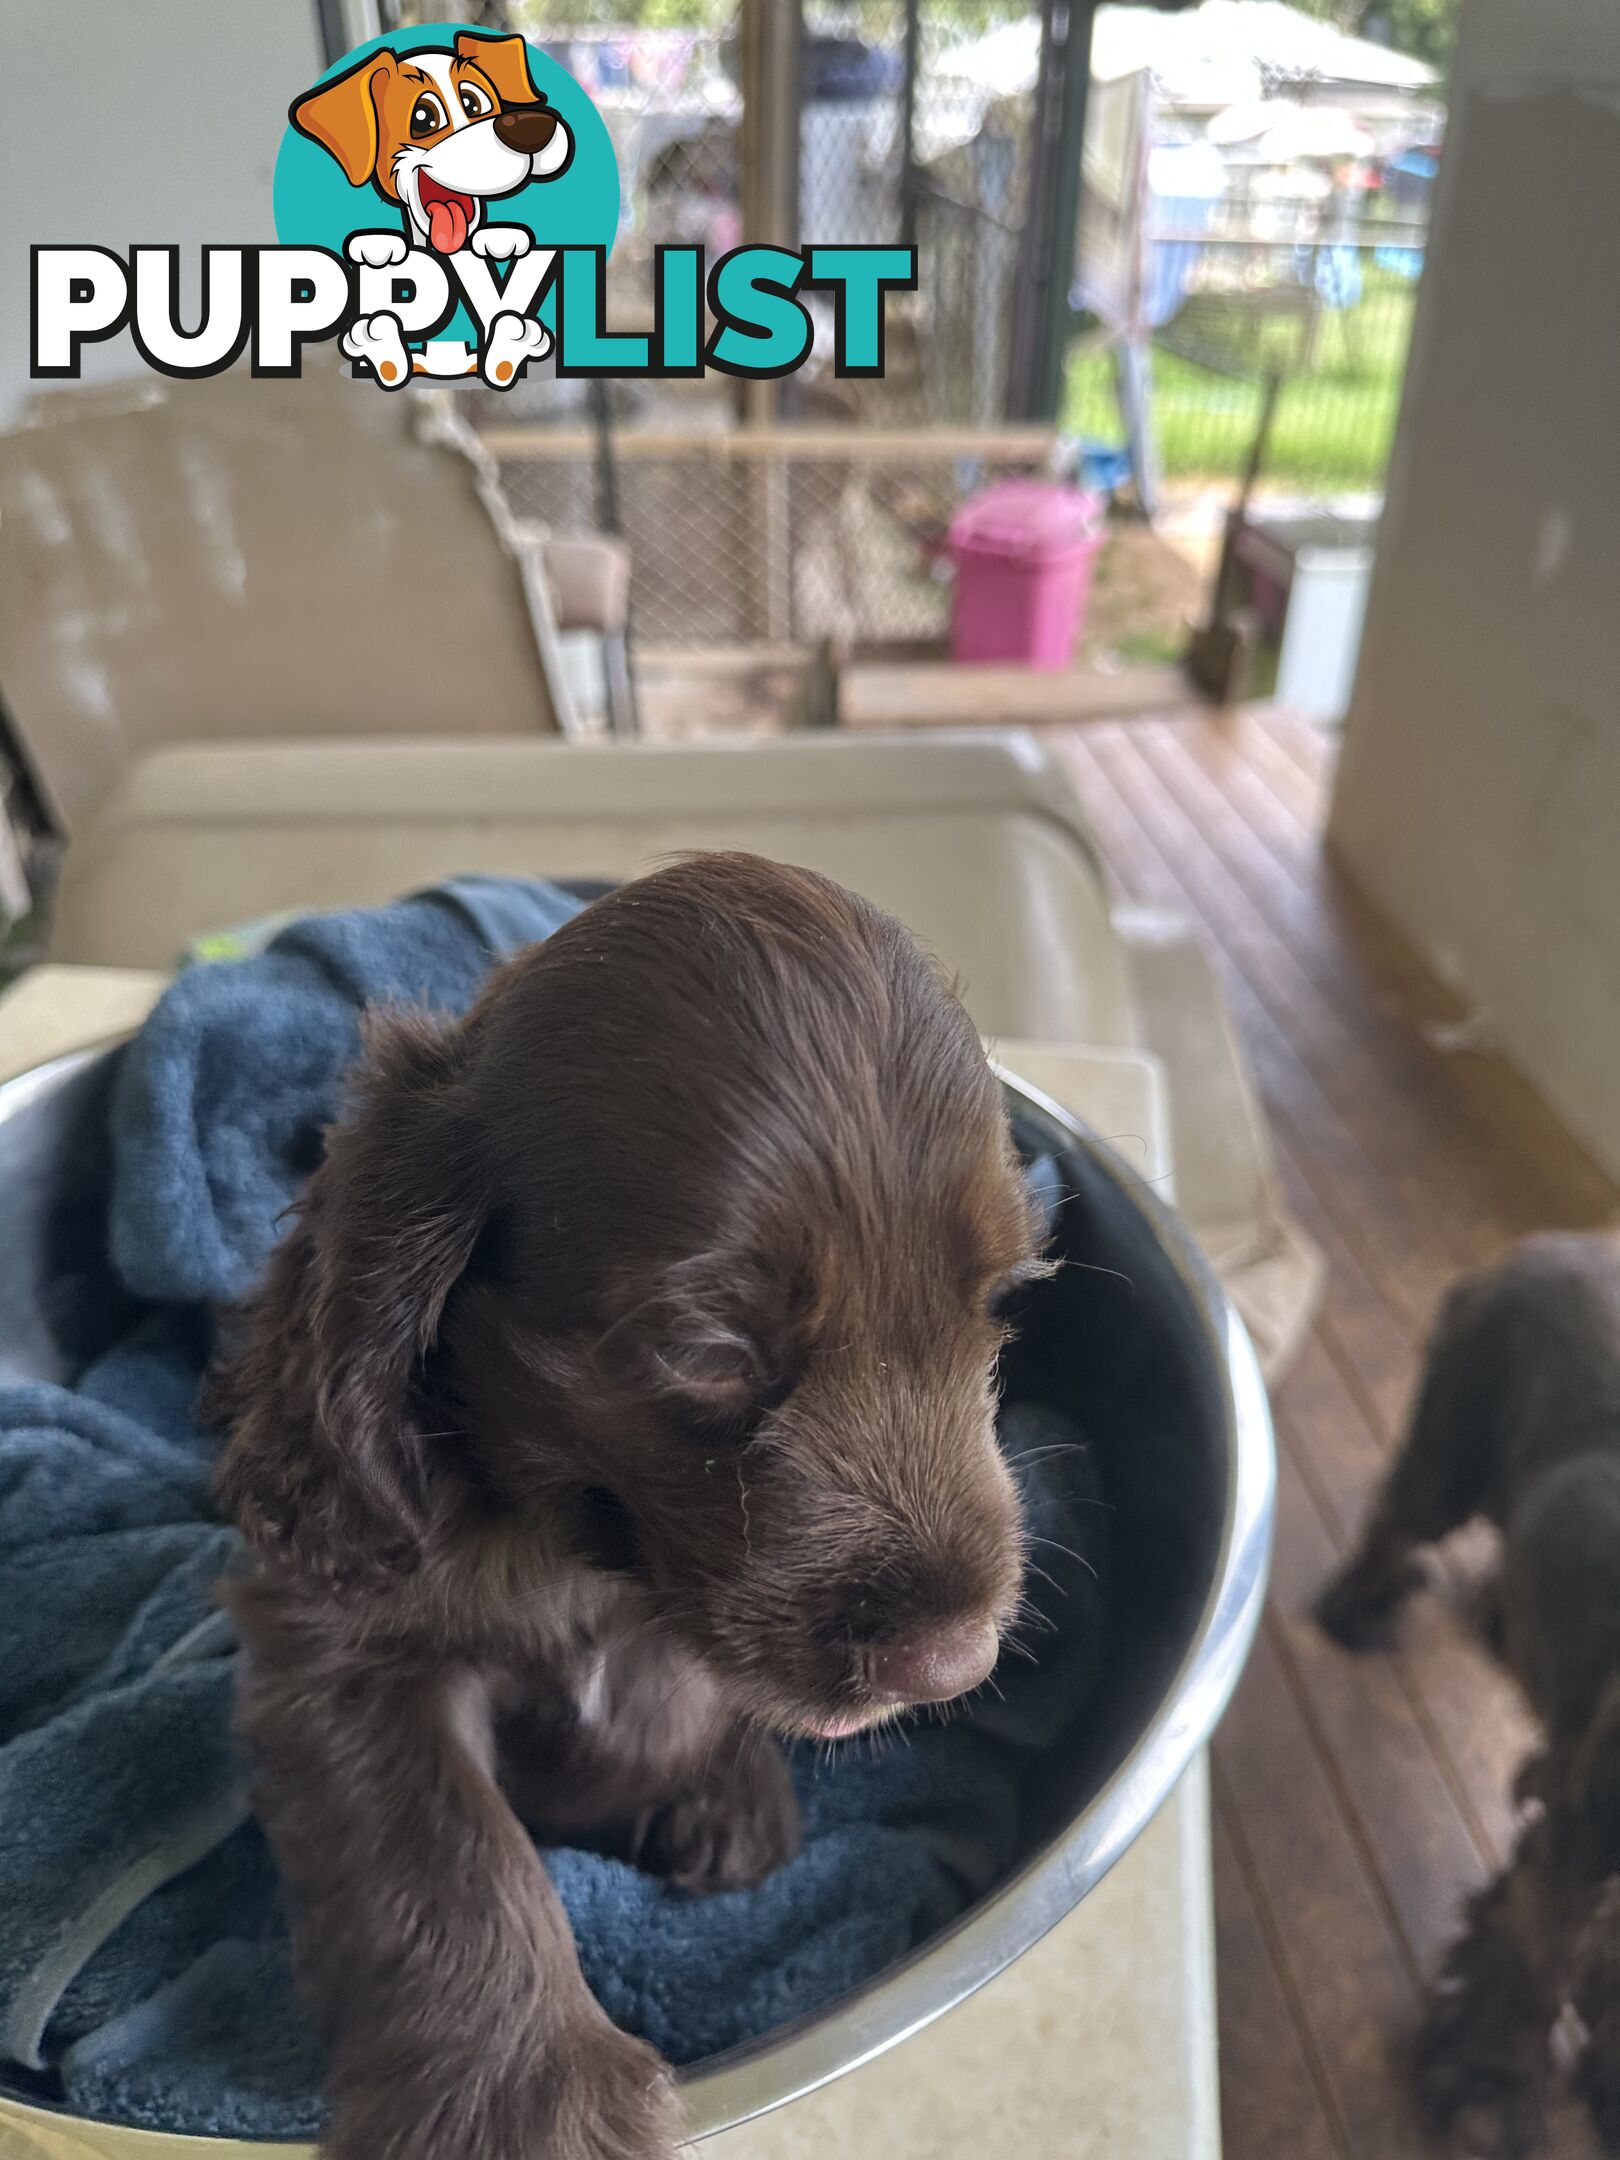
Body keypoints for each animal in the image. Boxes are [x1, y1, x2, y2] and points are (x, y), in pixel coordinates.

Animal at [209, 855, 1045, 2160]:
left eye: (1000, 1296)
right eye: (706, 1352)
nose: (950, 1662)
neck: (580, 1545)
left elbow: (674, 1701)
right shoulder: (340, 1640)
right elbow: (445, 1848)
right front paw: (519, 2098)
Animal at [1321, 1244, 1620, 2151]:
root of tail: (1544, 1247)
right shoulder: (1582, 1836)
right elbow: (1533, 1955)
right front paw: (1491, 2083)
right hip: (1449, 1452)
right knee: (1396, 1518)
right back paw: (1361, 1604)